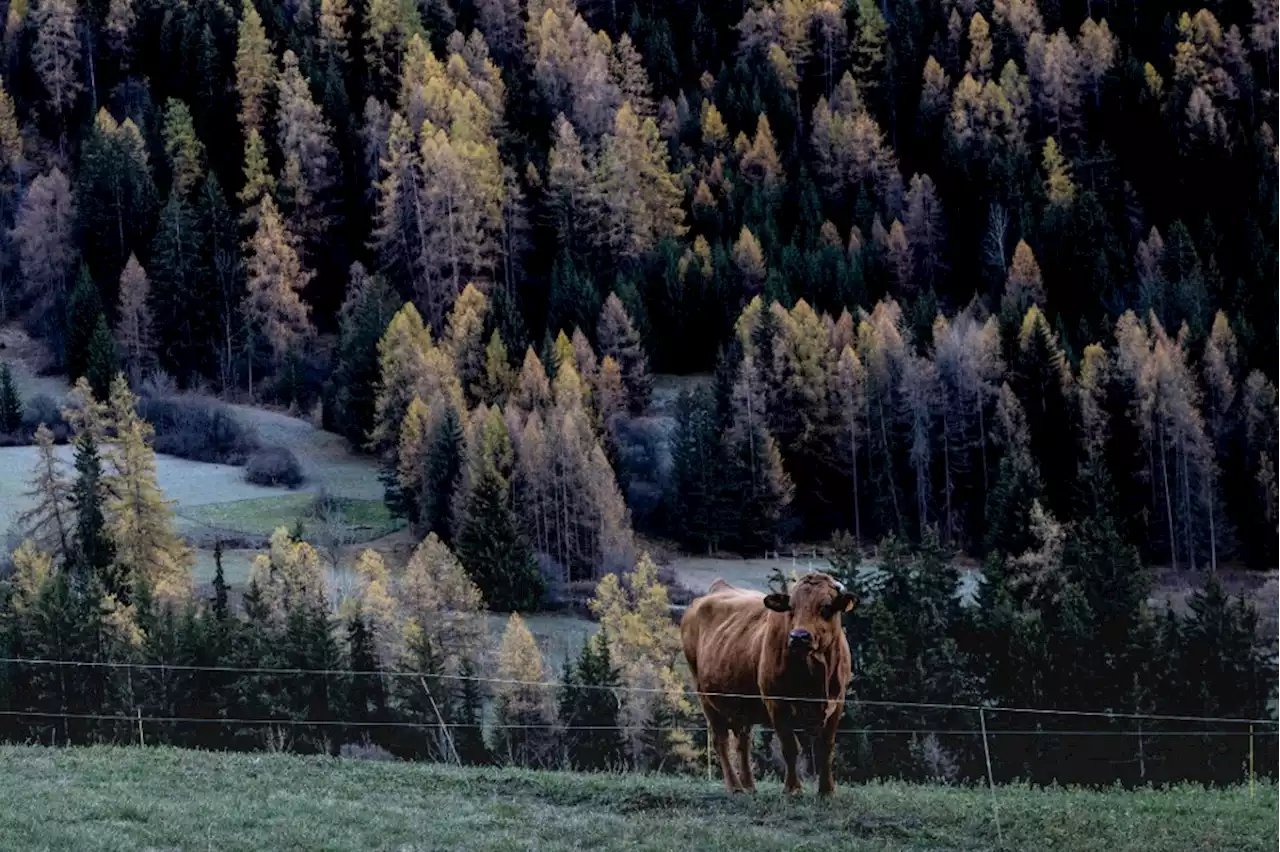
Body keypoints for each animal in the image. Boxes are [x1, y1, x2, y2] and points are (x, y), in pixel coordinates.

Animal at [680, 568, 849, 793]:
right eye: (791, 608)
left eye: (827, 607)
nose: (799, 636)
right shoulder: (776, 703)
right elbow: (790, 746)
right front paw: (793, 789)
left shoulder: (837, 701)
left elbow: (826, 746)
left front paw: (827, 790)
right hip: (706, 697)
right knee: (721, 740)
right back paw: (735, 787)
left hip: (740, 703)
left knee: (743, 741)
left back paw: (749, 786)